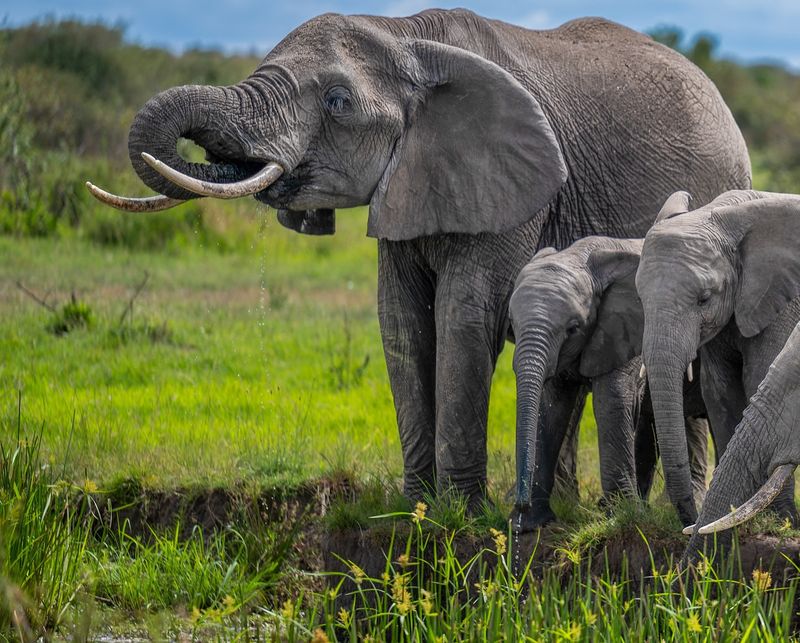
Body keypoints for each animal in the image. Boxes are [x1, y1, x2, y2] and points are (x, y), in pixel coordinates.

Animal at [506, 234, 708, 532]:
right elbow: (550, 408)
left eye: (573, 328)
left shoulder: (628, 330)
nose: (520, 504)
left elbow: (612, 400)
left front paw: (622, 518)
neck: (586, 259)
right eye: (512, 321)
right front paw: (528, 524)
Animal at [636, 189, 800, 524]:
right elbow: (719, 393)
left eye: (704, 299)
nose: (691, 518)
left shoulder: (780, 306)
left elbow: (756, 377)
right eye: (640, 298)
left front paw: (782, 520)